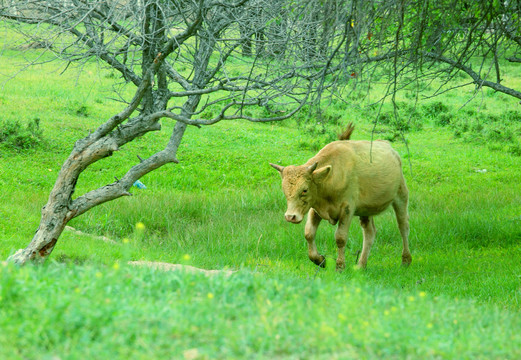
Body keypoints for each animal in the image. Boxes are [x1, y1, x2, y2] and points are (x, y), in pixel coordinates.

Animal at [268, 124, 410, 270]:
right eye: (284, 190)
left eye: (304, 190)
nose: (290, 216)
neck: (331, 176)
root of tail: (389, 148)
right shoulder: (315, 208)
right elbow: (309, 233)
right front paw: (320, 260)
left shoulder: (347, 209)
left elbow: (340, 238)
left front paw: (340, 266)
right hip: (366, 210)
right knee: (369, 232)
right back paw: (361, 265)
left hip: (401, 196)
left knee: (403, 226)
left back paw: (406, 260)